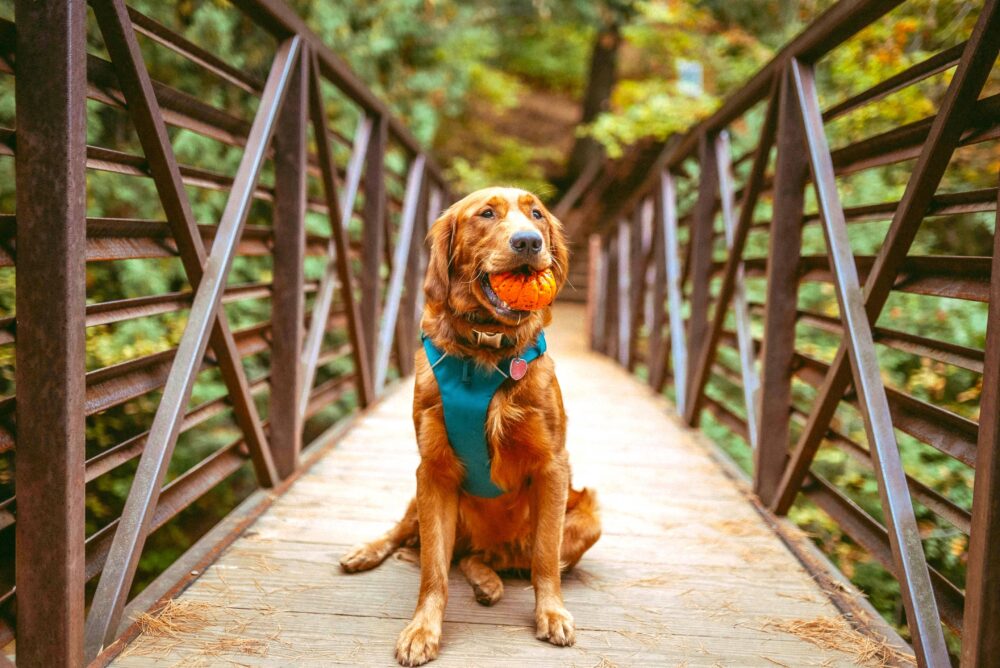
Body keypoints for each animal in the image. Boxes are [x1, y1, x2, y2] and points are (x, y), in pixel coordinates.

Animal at [340, 187, 600, 664]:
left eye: (537, 214)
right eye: (486, 213)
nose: (529, 242)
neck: (488, 349)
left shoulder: (553, 467)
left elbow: (544, 558)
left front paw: (551, 613)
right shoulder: (433, 471)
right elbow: (433, 570)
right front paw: (422, 630)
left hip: (588, 518)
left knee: (487, 558)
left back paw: (488, 580)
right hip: (422, 497)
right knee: (414, 536)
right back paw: (367, 551)